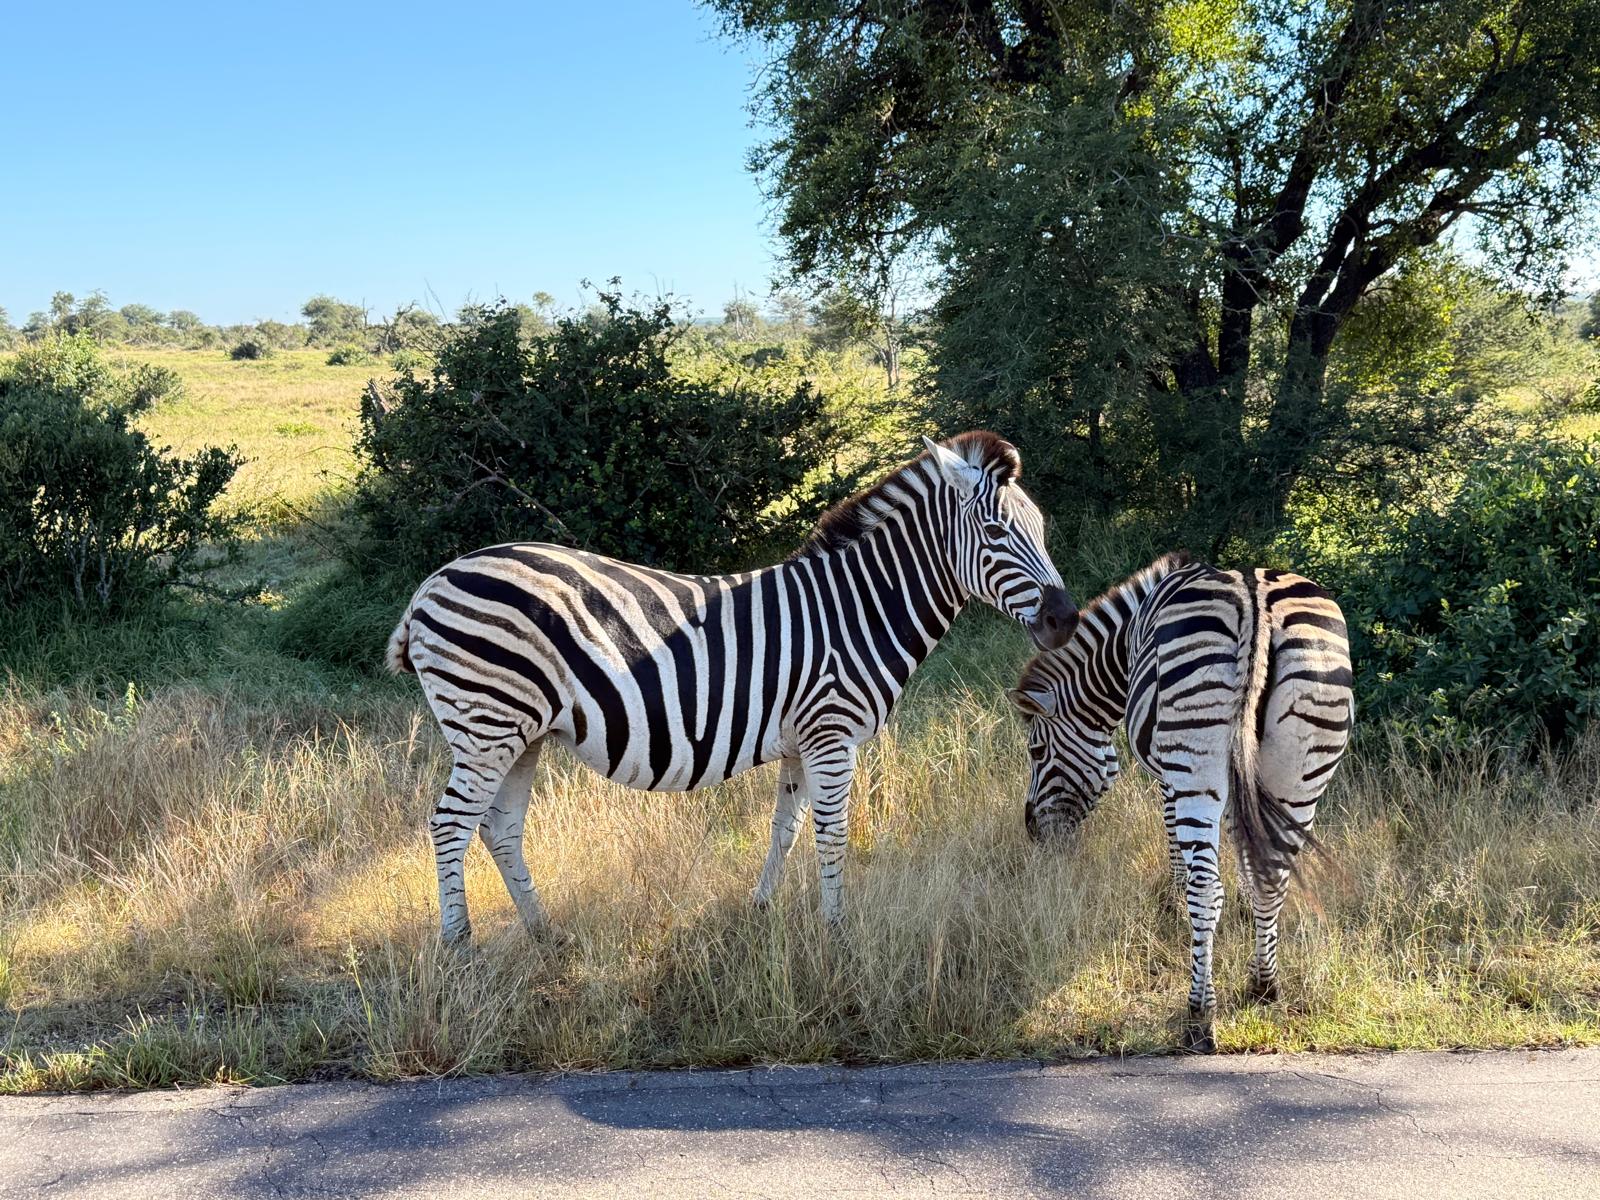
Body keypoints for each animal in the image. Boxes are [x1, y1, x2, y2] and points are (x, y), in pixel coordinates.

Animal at [387, 432, 1077, 944]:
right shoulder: (832, 734)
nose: (1065, 619)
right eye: (995, 534)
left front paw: (761, 909)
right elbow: (832, 833)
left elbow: (786, 829)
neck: (858, 607)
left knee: (499, 828)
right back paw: (460, 948)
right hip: (486, 726)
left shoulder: (803, 740)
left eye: (1044, 529)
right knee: (449, 824)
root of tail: (431, 584)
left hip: (520, 734)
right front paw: (837, 935)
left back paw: (544, 934)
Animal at [1007, 552, 1352, 1051]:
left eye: (1036, 752)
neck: (1125, 648)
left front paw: (1172, 904)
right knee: (1274, 875)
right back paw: (1263, 984)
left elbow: (1179, 850)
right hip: (1303, 764)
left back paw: (1199, 1015)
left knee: (1205, 887)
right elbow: (1246, 857)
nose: (1032, 831)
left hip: (1197, 766)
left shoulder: (1169, 777)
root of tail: (1256, 601)